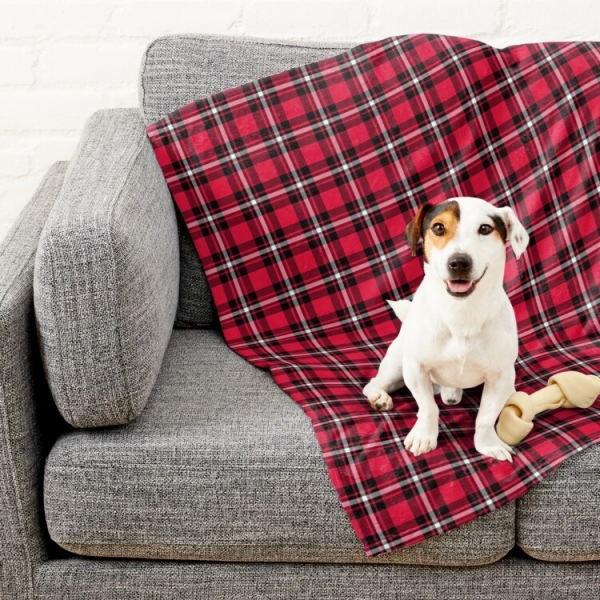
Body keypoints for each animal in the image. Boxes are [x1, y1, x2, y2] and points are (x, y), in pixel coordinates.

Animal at [364, 199, 528, 462]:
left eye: (485, 228)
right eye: (438, 228)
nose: (459, 262)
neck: (461, 314)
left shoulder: (501, 376)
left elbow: (485, 417)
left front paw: (488, 445)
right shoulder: (416, 368)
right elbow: (428, 408)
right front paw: (424, 437)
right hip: (397, 364)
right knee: (374, 382)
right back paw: (379, 397)